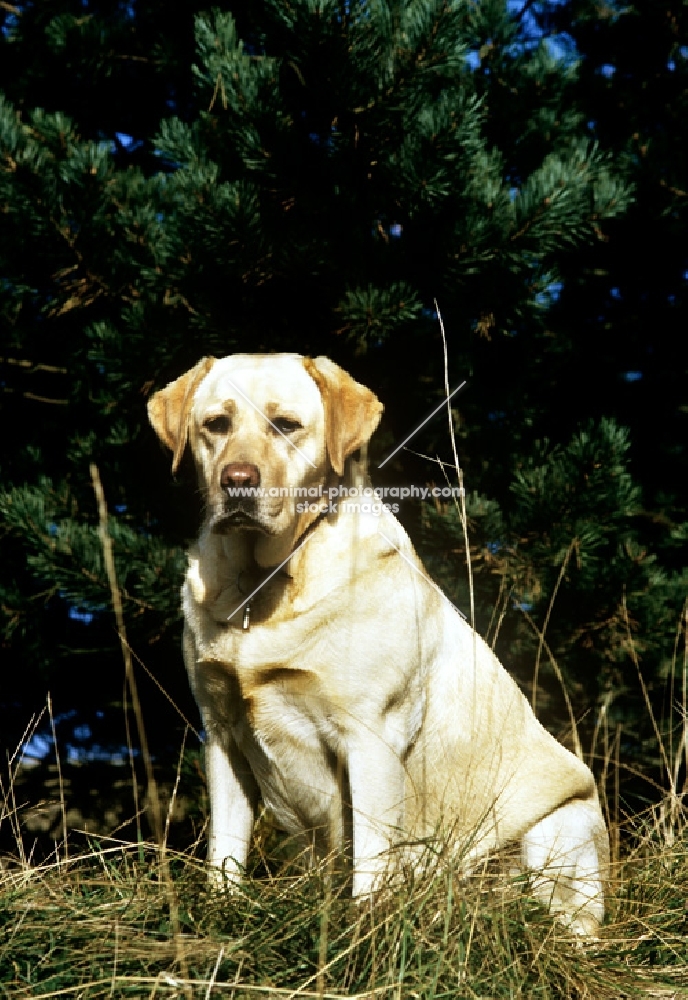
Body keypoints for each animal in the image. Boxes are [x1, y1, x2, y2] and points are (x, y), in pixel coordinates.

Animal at [149, 356, 608, 932]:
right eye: (216, 424)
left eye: (286, 425)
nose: (237, 481)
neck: (266, 582)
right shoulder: (222, 733)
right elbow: (225, 852)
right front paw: (221, 910)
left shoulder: (371, 738)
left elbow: (370, 860)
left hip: (558, 829)